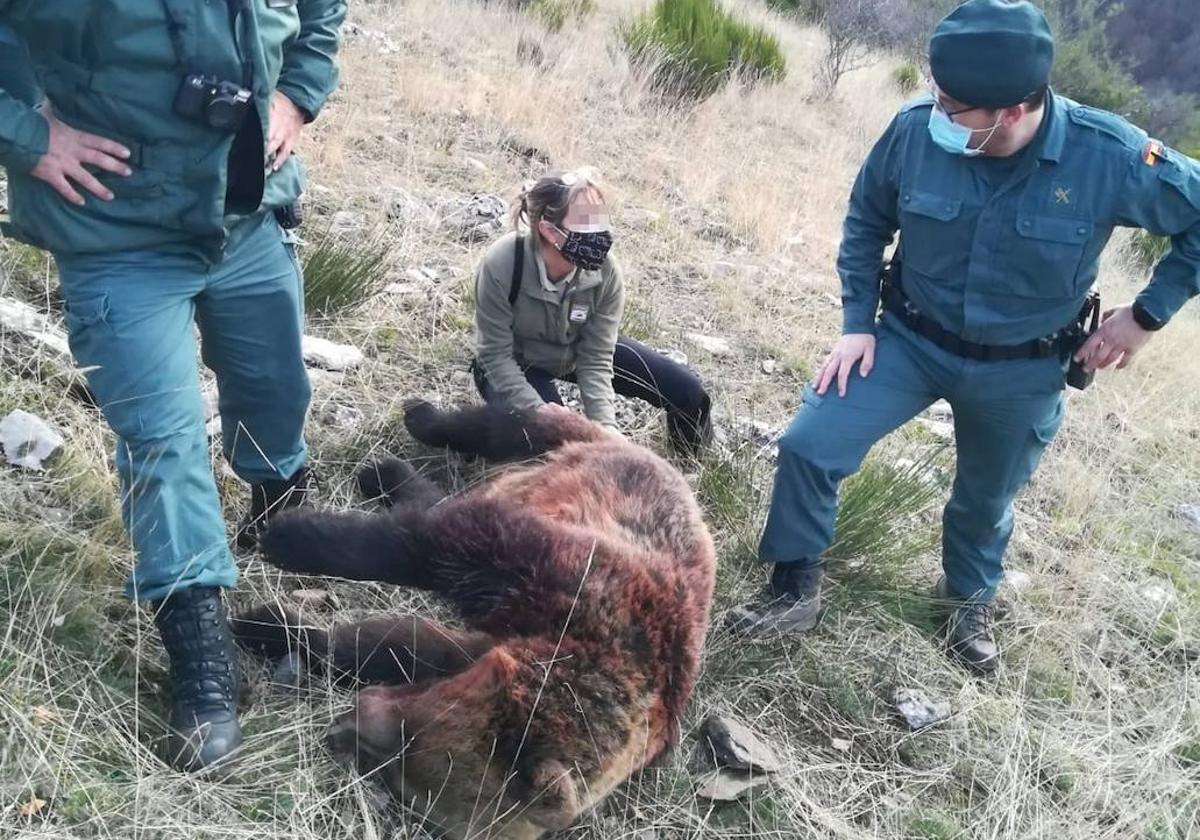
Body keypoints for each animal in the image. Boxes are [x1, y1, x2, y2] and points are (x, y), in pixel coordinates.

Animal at [236, 400, 710, 840]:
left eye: (396, 775)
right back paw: (412, 431)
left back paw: (389, 476)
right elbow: (440, 545)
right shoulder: (569, 578)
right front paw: (291, 538)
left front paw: (276, 631)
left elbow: (398, 644)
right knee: (504, 430)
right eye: (412, 736)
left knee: (443, 498)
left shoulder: (489, 644)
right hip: (576, 452)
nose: (340, 730)